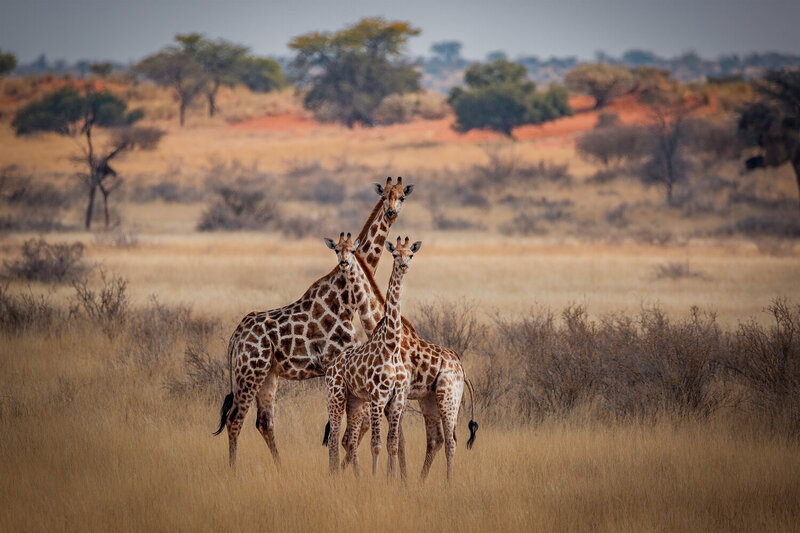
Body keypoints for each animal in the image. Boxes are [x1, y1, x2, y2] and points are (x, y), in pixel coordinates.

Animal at [212, 177, 414, 467]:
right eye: (384, 195)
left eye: (402, 197)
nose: (391, 212)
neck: (346, 298)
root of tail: (237, 334)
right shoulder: (339, 366)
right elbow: (349, 431)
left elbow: (351, 429)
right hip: (249, 371)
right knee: (235, 419)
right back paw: (233, 470)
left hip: (268, 375)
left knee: (264, 422)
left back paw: (280, 468)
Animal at [325, 236, 420, 479]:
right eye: (395, 254)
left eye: (411, 254)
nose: (403, 266)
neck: (391, 346)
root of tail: (330, 367)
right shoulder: (378, 397)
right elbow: (377, 444)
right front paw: (377, 479)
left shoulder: (397, 398)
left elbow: (393, 444)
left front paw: (392, 480)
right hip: (336, 397)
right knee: (335, 437)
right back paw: (334, 476)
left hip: (355, 402)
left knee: (347, 439)